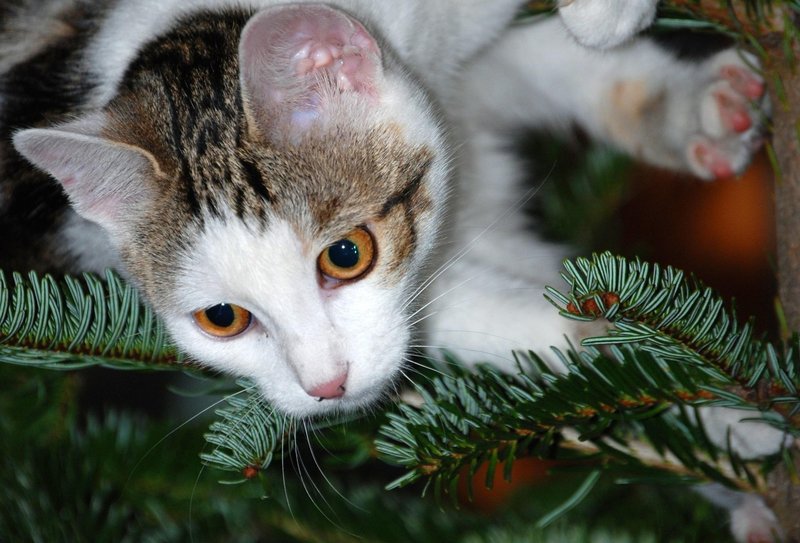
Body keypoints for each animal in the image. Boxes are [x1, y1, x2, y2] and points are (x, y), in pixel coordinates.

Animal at [0, 2, 788, 540]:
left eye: (345, 255)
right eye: (222, 319)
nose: (326, 385)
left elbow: (534, 53)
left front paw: (671, 90)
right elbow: (519, 316)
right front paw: (736, 428)